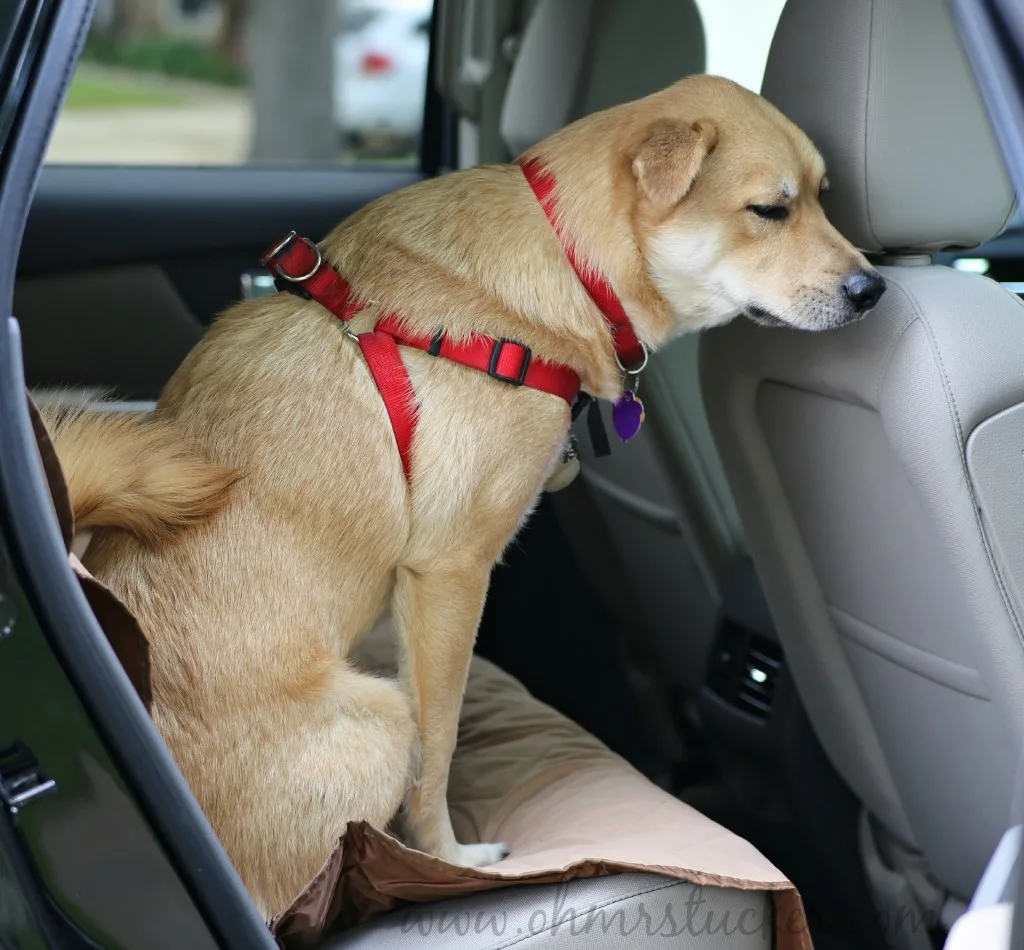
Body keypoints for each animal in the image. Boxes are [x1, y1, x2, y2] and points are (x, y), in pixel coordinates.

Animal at [44, 76, 884, 921]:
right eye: (769, 210)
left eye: (823, 197)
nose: (873, 288)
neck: (568, 259)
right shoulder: (450, 575)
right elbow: (440, 747)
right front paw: (448, 857)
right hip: (380, 715)